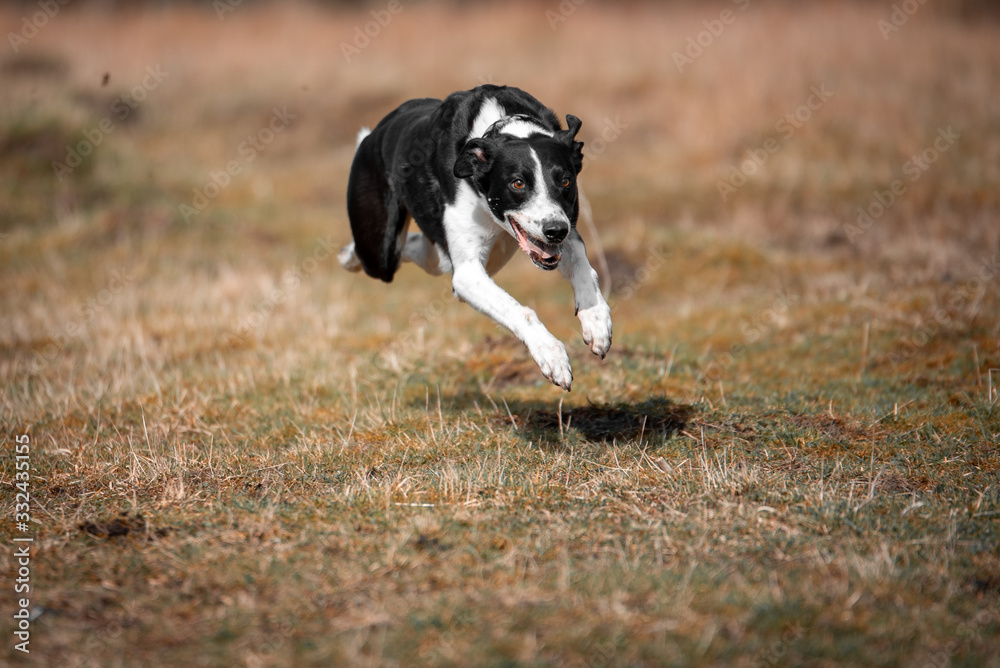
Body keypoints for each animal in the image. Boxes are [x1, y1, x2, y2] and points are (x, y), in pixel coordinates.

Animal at [340, 87, 612, 392]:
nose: (555, 230)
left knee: (425, 250)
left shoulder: (567, 230)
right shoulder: (468, 274)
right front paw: (552, 355)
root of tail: (374, 133)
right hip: (380, 251)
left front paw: (597, 321)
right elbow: (521, 311)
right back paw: (347, 255)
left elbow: (584, 267)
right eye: (518, 183)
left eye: (565, 181)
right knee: (383, 254)